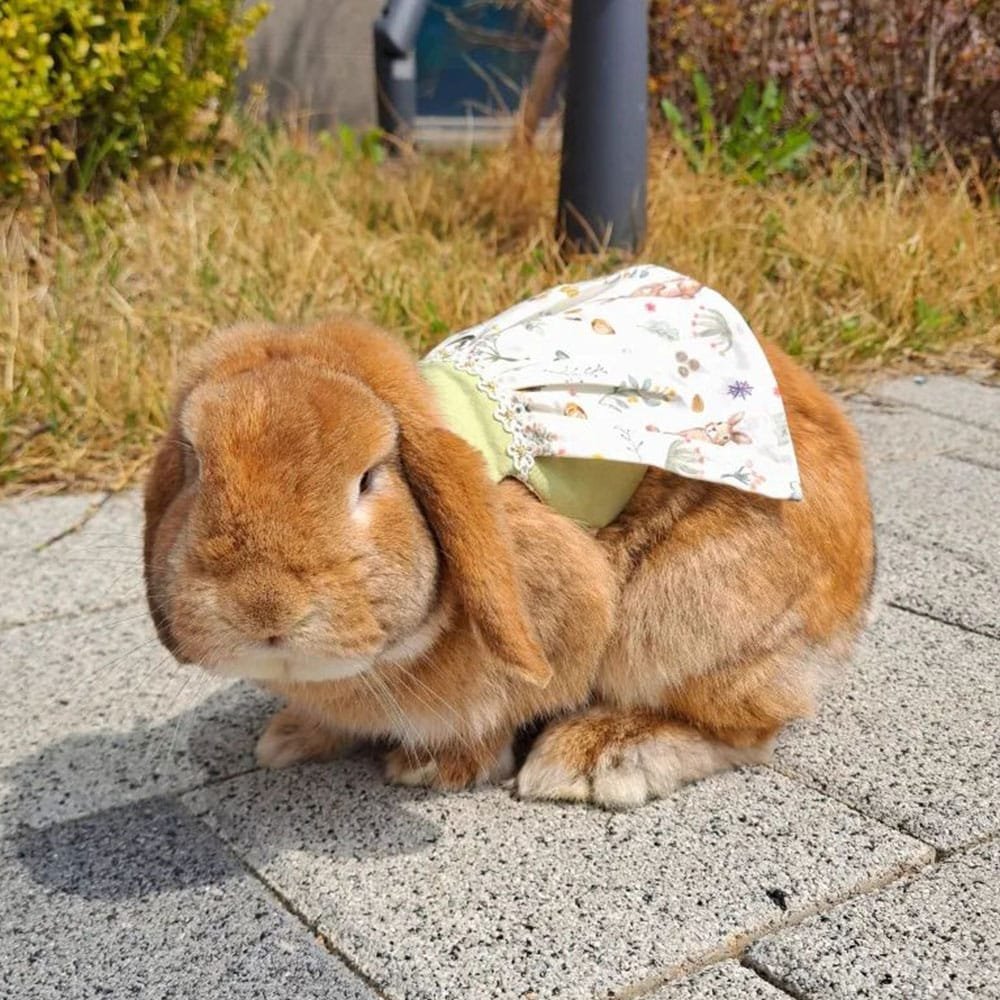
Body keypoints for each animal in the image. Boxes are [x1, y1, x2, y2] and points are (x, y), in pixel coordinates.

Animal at [144, 315, 874, 809]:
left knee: (748, 729)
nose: (261, 606)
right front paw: (290, 738)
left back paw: (595, 758)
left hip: (684, 623)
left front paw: (434, 767)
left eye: (368, 479)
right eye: (197, 466)